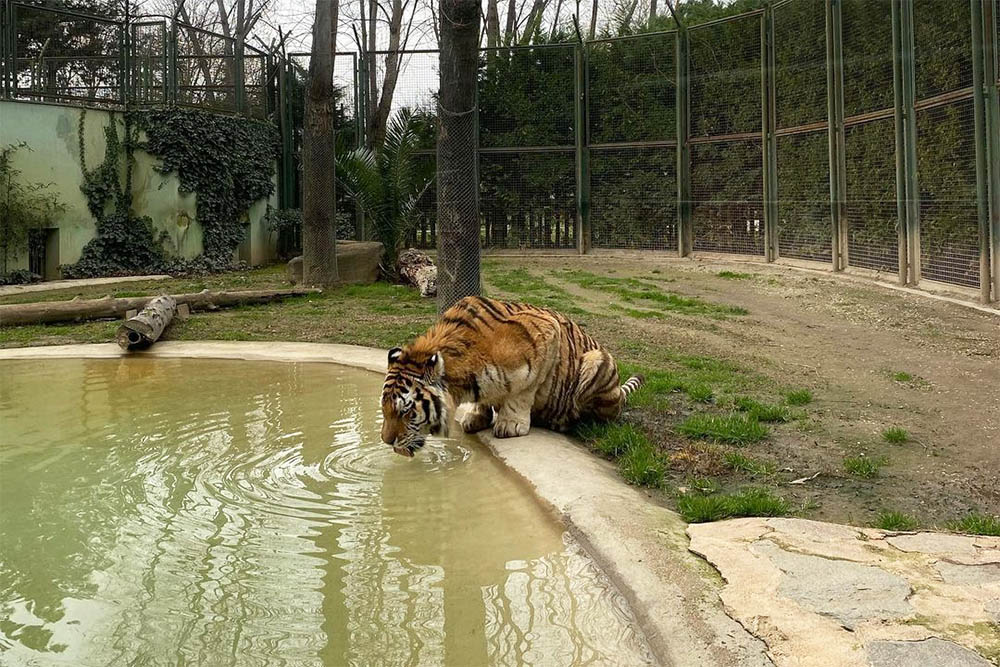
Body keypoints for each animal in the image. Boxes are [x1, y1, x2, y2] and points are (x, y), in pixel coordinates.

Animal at [378, 294, 644, 456]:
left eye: (406, 411)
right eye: (384, 409)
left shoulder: (547, 334)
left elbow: (522, 393)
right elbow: (484, 399)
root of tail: (619, 392)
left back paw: (561, 420)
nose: (386, 441)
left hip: (597, 362)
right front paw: (476, 417)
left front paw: (509, 424)